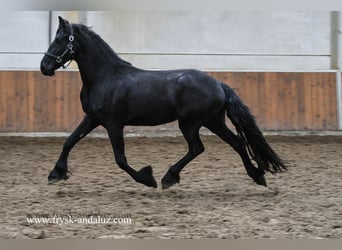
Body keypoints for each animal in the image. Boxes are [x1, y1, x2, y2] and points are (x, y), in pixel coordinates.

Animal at [40, 16, 286, 188]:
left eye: (60, 39)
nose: (44, 66)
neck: (106, 77)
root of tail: (218, 84)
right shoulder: (92, 118)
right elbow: (69, 141)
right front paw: (55, 174)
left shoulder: (113, 123)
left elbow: (120, 159)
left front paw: (148, 179)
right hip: (213, 122)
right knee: (237, 143)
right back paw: (257, 175)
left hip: (190, 124)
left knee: (197, 147)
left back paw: (169, 177)